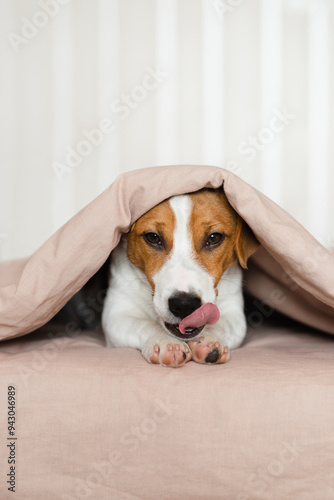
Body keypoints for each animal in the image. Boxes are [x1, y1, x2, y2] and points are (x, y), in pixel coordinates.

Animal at [102, 188, 258, 368]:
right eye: (153, 237)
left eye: (214, 237)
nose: (185, 305)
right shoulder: (116, 315)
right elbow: (145, 324)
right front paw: (165, 342)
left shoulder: (235, 314)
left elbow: (220, 324)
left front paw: (210, 340)